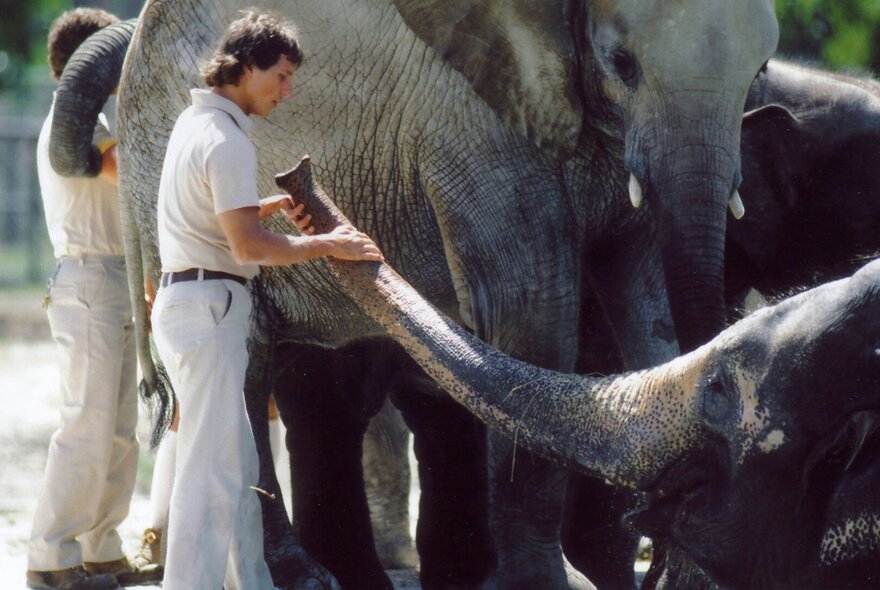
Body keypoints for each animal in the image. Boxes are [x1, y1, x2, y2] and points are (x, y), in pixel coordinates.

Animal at [108, 0, 777, 588]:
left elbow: (648, 310)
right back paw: (299, 578)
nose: (673, 556)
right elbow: (530, 318)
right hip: (159, 170)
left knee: (324, 385)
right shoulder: (472, 122)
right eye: (622, 64)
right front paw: (546, 585)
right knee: (246, 371)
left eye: (761, 71)